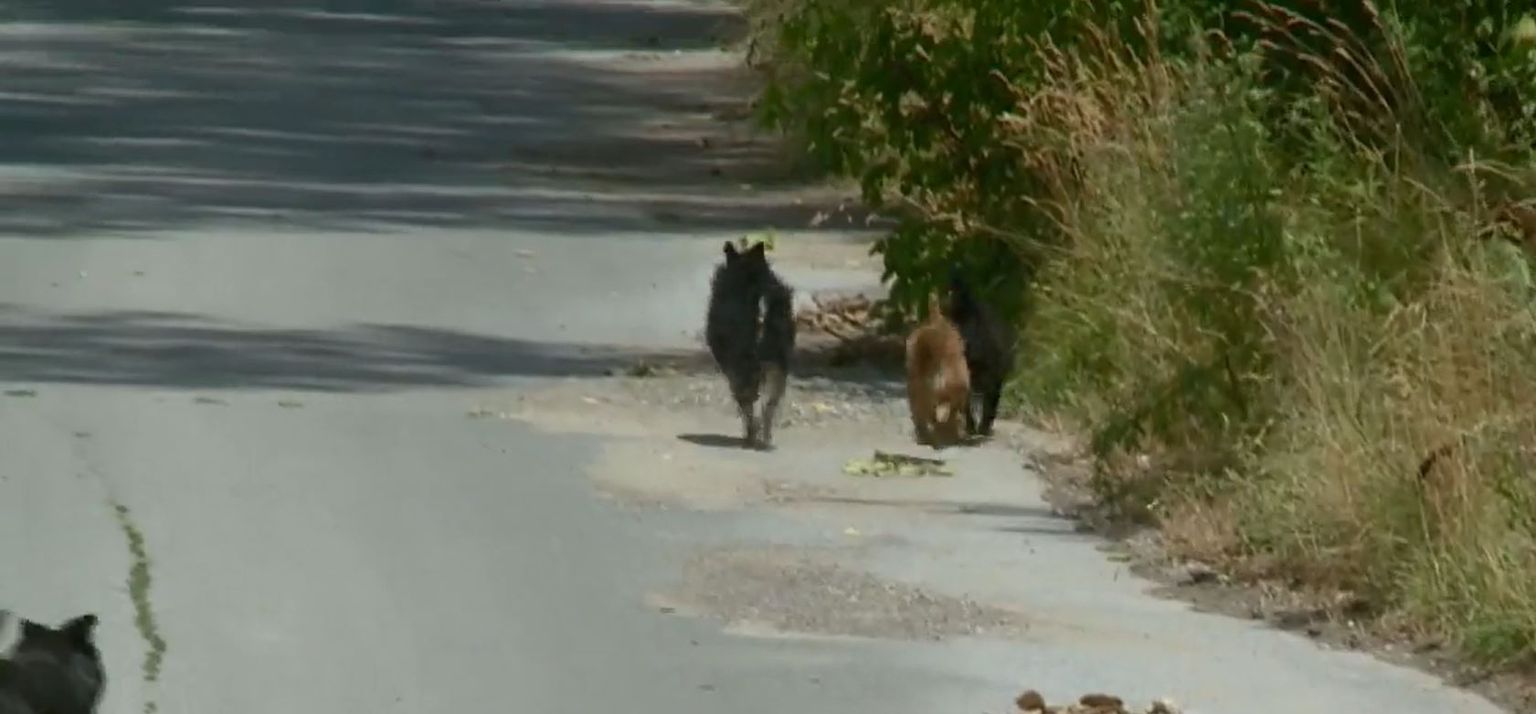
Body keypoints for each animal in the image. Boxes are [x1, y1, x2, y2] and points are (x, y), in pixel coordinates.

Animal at [706, 242, 798, 448]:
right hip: (778, 361)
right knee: (768, 404)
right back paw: (765, 440)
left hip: (741, 365)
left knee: (749, 403)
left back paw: (751, 437)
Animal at [946, 268, 1019, 436]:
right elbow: (967, 403)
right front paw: (971, 427)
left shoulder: (991, 376)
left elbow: (988, 402)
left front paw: (982, 428)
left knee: (992, 398)